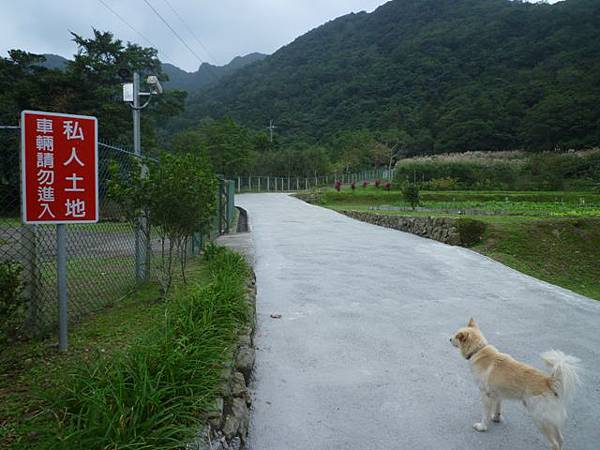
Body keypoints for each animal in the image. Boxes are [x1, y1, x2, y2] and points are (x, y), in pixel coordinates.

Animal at [452, 318, 580, 448]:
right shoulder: (497, 394)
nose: (449, 339)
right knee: (561, 439)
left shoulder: (485, 395)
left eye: (456, 336)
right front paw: (496, 418)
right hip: (550, 419)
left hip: (539, 419)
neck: (478, 350)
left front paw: (483, 427)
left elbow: (486, 414)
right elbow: (497, 408)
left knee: (554, 444)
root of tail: (548, 381)